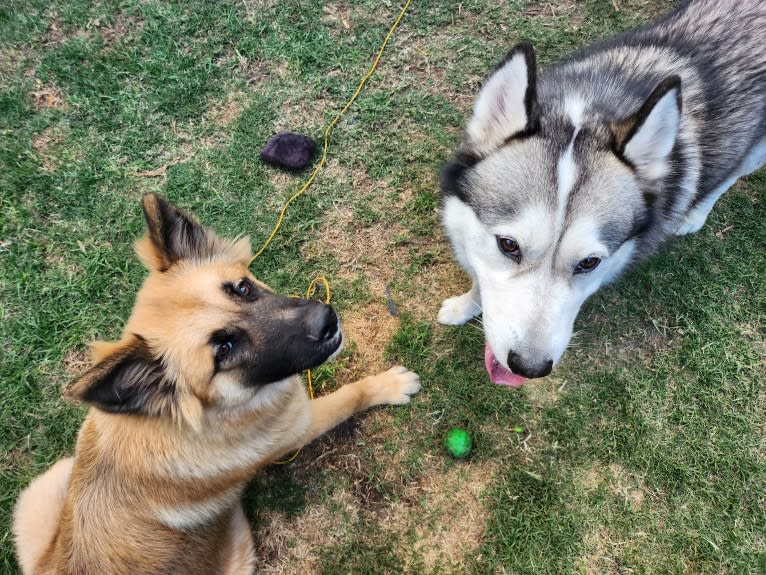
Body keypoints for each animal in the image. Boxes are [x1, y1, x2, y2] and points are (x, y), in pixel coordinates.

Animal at [12, 195, 424, 575]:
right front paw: (390, 384)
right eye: (224, 349)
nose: (327, 321)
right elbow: (351, 394)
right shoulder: (301, 426)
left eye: (242, 288)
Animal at [438, 0, 766, 390]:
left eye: (589, 263)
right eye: (508, 245)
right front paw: (464, 306)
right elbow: (479, 280)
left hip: (757, 151)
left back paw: (695, 213)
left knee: (730, 175)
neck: (588, 112)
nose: (529, 368)